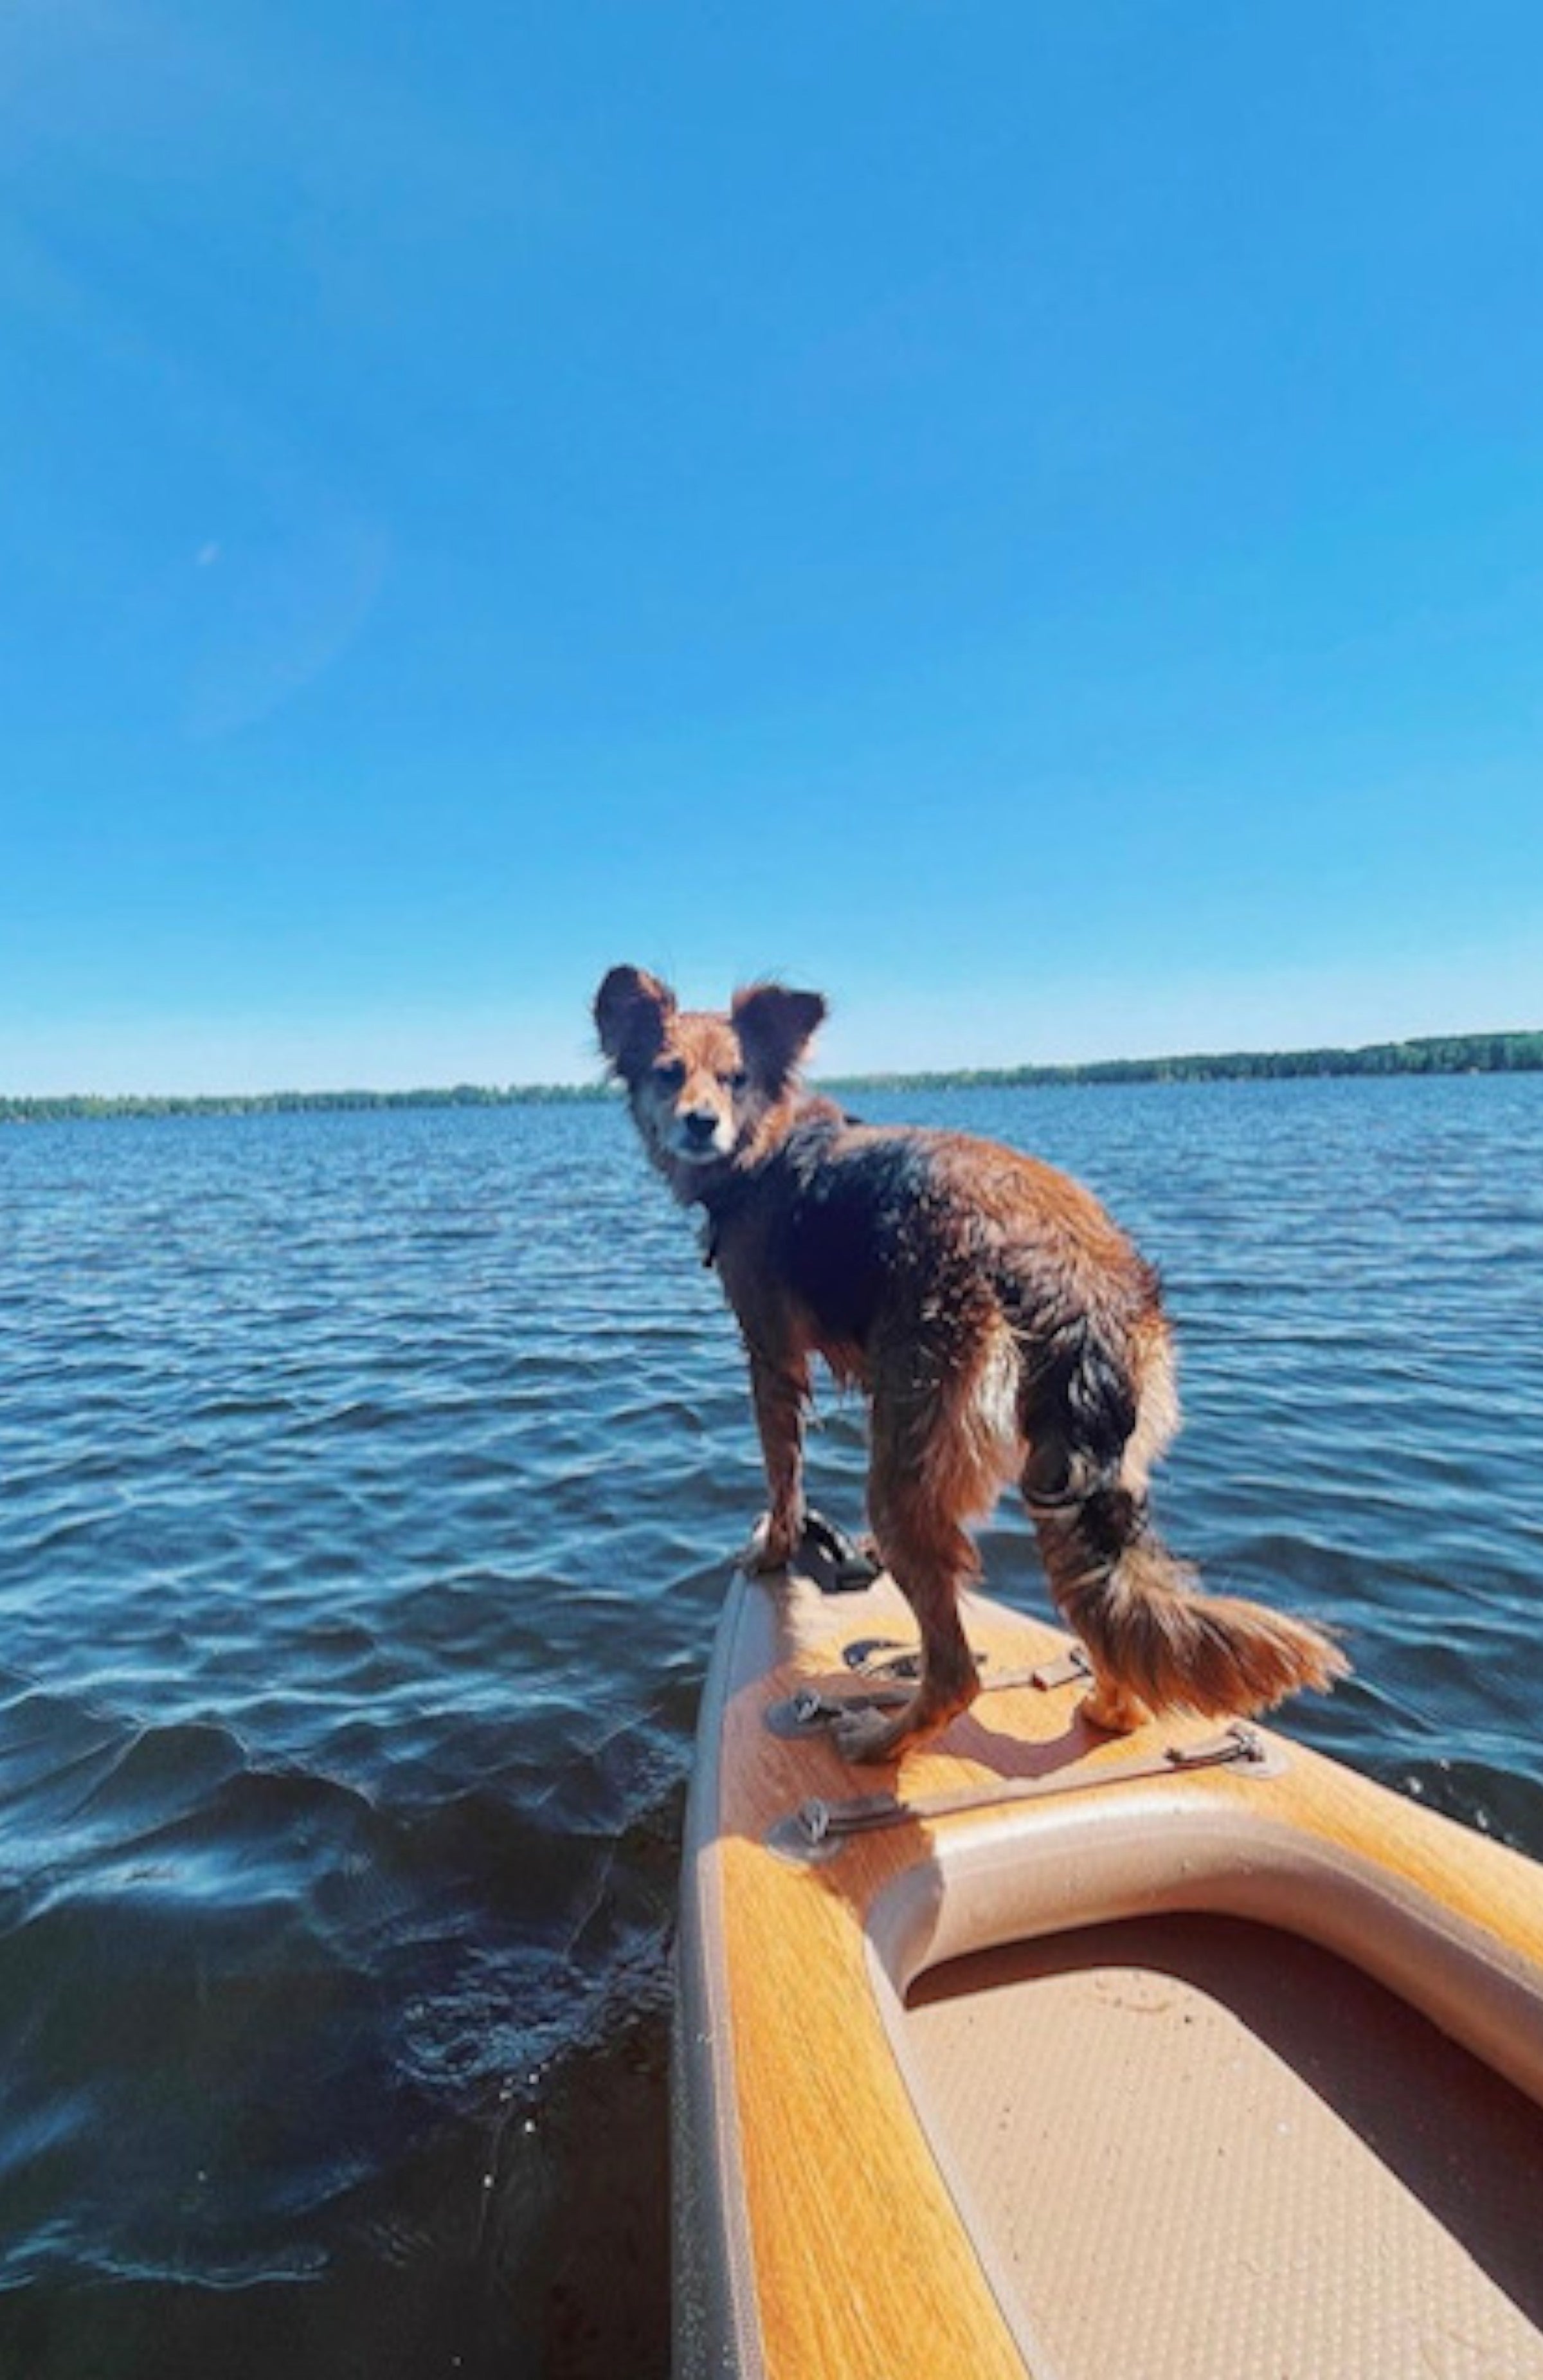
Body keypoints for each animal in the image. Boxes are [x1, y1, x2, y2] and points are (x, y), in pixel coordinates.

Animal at [597, 966, 1342, 1770]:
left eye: (734, 1077)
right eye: (668, 1071)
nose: (700, 1123)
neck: (765, 1149)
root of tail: (1074, 1289)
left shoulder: (771, 1356)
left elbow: (782, 1474)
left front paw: (773, 1550)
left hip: (904, 1473)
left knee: (956, 1671)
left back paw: (877, 1740)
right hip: (1070, 1469)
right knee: (1103, 1620)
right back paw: (1107, 1711)